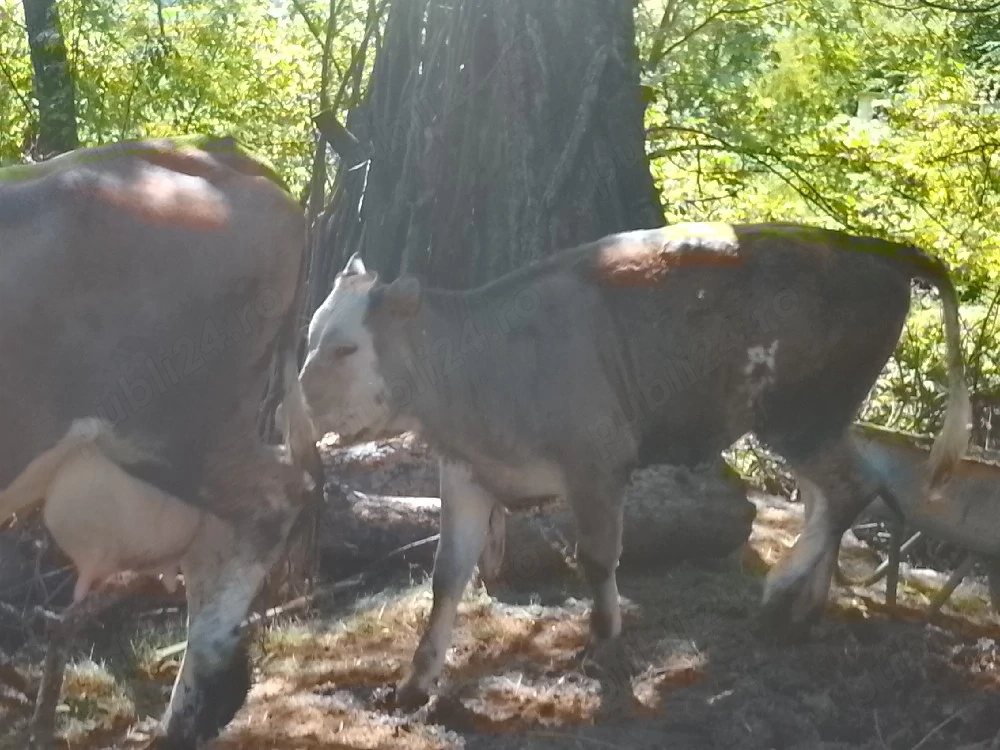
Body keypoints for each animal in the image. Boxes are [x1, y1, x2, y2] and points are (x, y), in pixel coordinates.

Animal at [299, 221, 972, 708]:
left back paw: (782, 593)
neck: (486, 362)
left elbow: (597, 559)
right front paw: (414, 685)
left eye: (347, 347)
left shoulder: (597, 461)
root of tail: (868, 247)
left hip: (800, 414)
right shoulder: (466, 471)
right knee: (828, 496)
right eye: (310, 335)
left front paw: (604, 648)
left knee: (853, 489)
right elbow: (446, 576)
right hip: (813, 423)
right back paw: (803, 610)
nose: (300, 398)